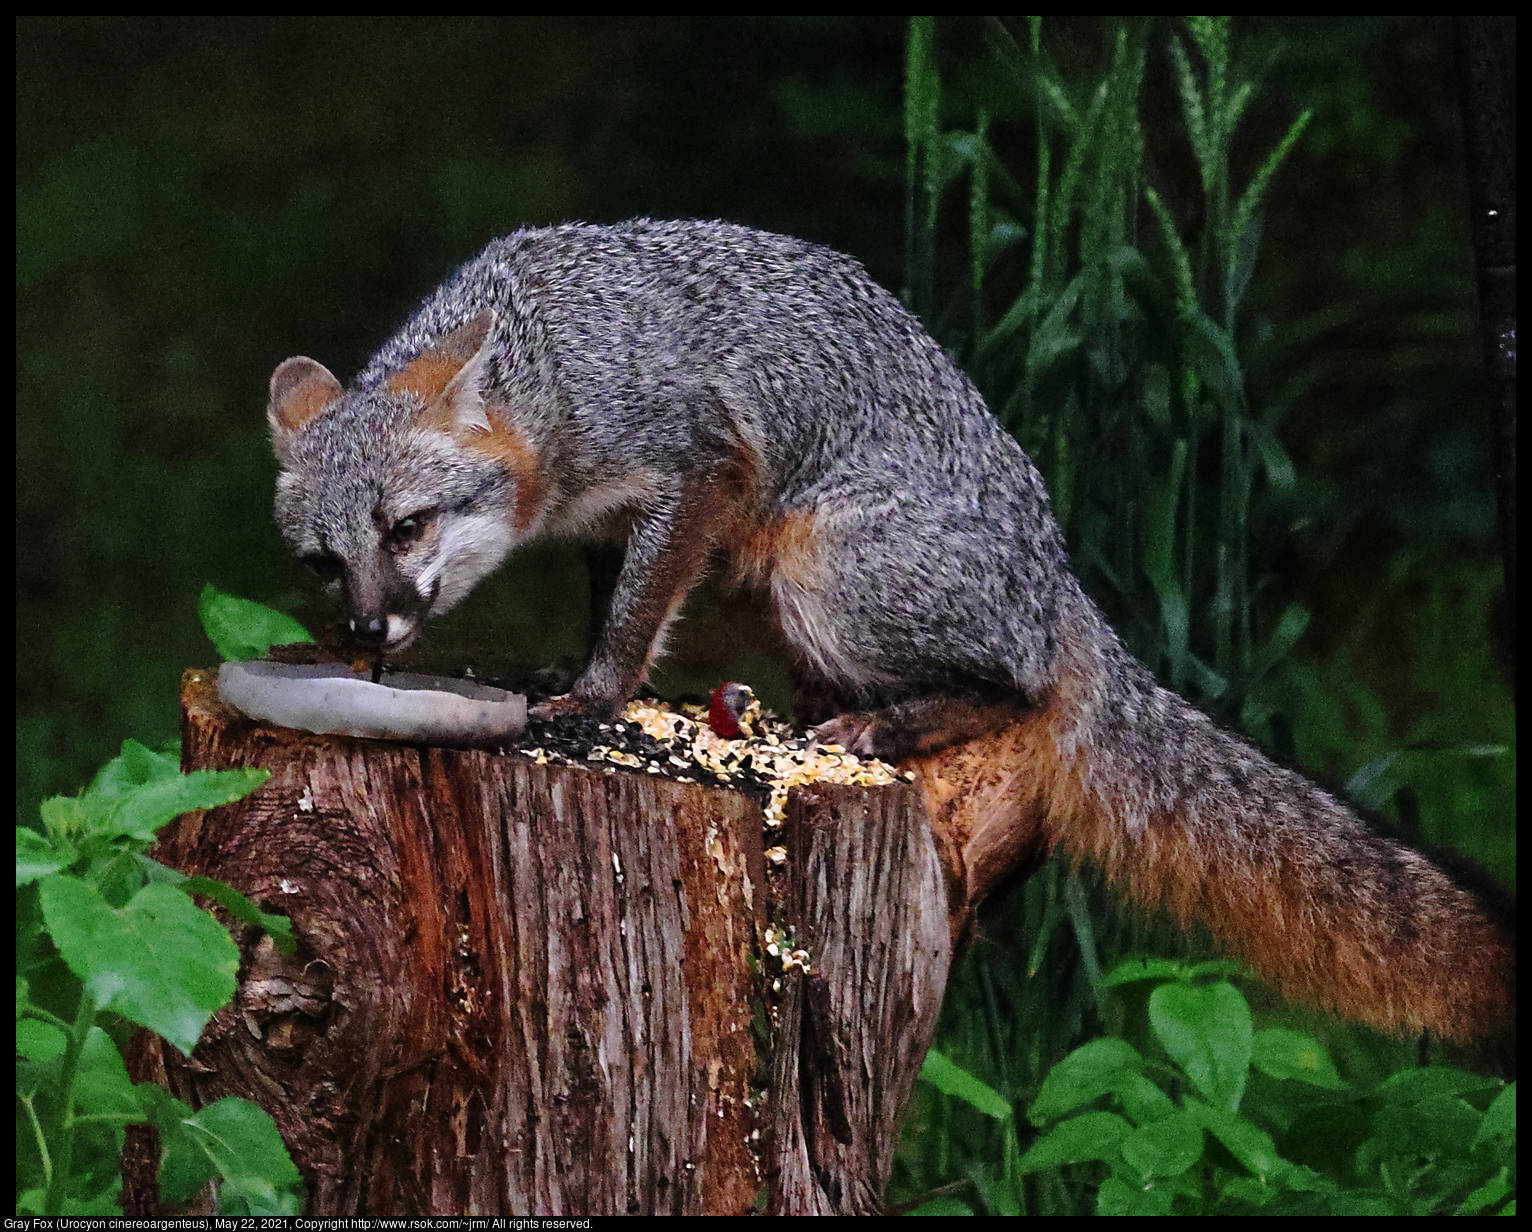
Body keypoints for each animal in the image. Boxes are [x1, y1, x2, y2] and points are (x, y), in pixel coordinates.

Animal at [269, 219, 1513, 1041]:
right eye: (324, 560)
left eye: (407, 525)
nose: (367, 629)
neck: (555, 369)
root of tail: (1057, 583)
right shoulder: (609, 524)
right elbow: (614, 600)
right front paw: (574, 670)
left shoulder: (695, 469)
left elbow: (634, 616)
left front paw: (597, 692)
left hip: (817, 571)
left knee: (1017, 687)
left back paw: (883, 725)